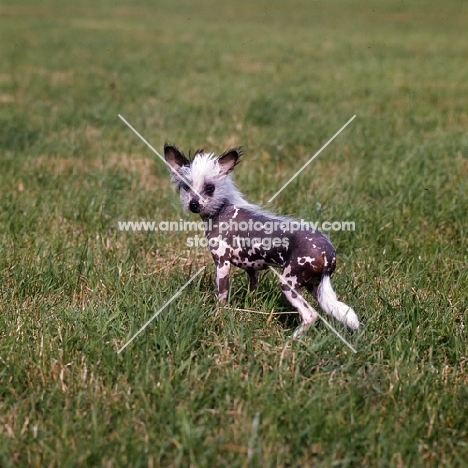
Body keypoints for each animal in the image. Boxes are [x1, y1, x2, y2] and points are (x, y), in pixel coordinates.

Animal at [164, 144, 358, 338]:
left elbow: (221, 298)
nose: (194, 204)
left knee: (310, 315)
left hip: (288, 283)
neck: (221, 210)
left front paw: (219, 317)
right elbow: (252, 295)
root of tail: (329, 252)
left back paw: (292, 339)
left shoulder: (222, 265)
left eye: (210, 188)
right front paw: (250, 313)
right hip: (315, 286)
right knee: (331, 311)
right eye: (186, 187)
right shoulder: (252, 270)